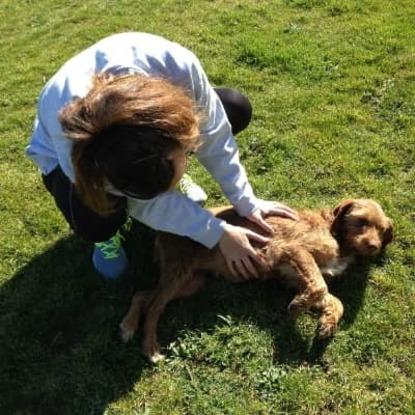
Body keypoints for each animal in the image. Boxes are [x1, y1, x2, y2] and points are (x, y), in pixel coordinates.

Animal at [119, 200, 394, 362]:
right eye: (361, 221)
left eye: (382, 230)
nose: (373, 246)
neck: (335, 233)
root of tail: (164, 227)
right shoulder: (294, 250)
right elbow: (319, 287)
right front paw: (298, 307)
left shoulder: (295, 277)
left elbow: (333, 299)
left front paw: (328, 322)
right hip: (179, 272)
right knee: (154, 307)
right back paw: (150, 347)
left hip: (193, 281)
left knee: (143, 294)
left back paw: (128, 325)